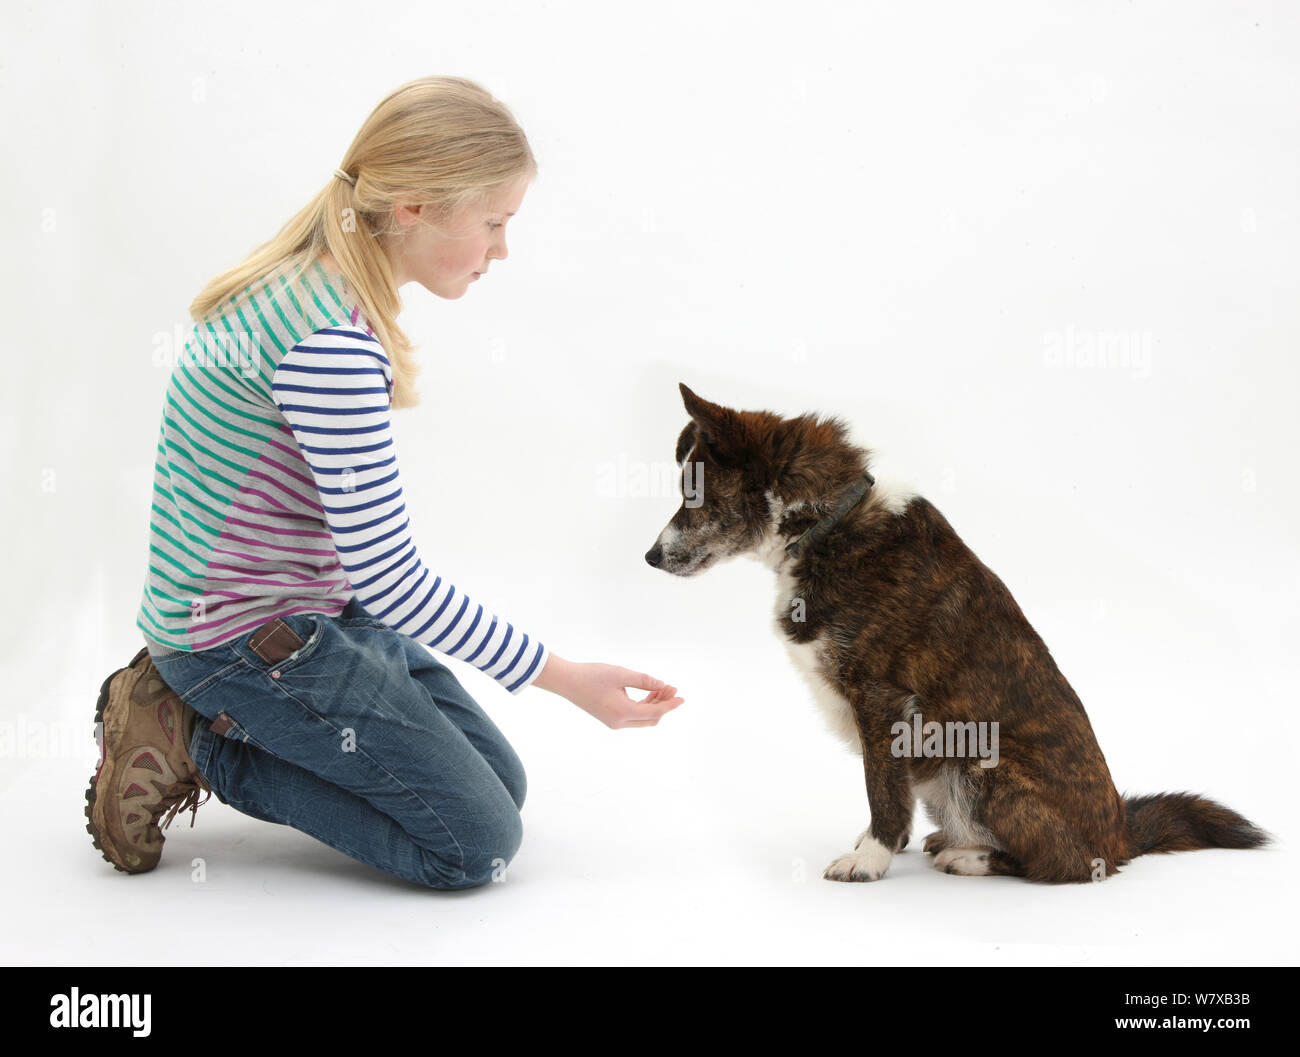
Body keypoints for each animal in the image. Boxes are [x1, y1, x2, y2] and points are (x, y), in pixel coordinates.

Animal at [642, 382, 1268, 878]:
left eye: (694, 493)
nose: (649, 558)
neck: (826, 523)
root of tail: (1120, 832)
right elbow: (890, 794)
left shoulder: (881, 701)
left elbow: (881, 792)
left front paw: (870, 859)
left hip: (977, 755)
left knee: (1065, 863)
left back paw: (971, 856)